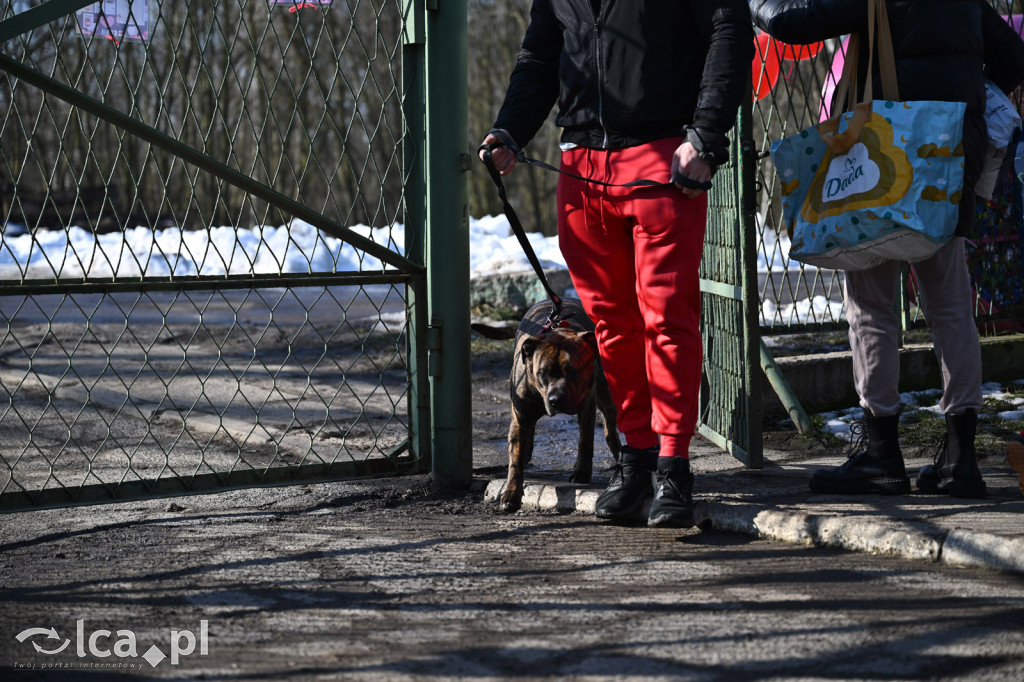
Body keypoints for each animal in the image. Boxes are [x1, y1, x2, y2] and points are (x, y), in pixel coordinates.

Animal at [471, 296, 614, 509]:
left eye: (574, 371)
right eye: (542, 373)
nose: (556, 399)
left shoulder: (587, 406)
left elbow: (585, 440)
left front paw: (581, 472)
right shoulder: (520, 416)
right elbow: (515, 457)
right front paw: (511, 492)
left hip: (604, 392)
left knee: (610, 426)